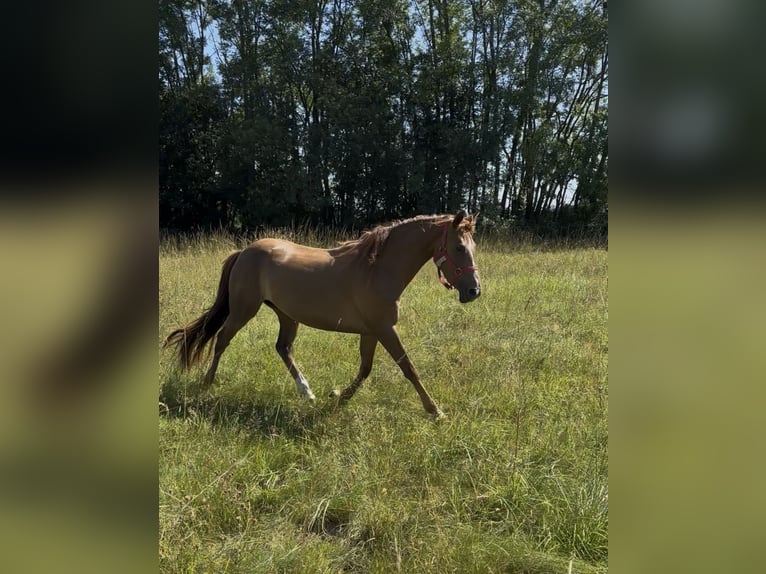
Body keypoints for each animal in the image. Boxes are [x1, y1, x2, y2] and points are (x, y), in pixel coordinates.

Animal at [163, 211, 481, 417]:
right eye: (458, 246)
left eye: (473, 246)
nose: (474, 291)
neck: (377, 269)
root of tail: (244, 252)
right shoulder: (384, 328)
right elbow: (408, 367)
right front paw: (435, 410)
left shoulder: (372, 330)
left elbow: (365, 369)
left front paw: (338, 397)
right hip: (244, 309)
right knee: (222, 340)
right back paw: (206, 383)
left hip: (286, 314)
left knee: (283, 348)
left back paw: (307, 392)